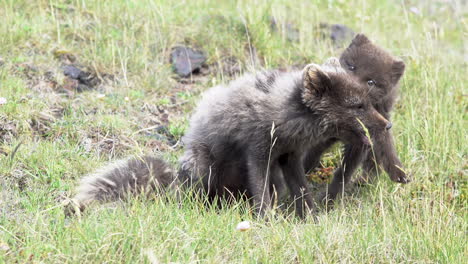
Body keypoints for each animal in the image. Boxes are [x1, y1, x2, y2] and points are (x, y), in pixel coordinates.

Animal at [68, 63, 392, 218]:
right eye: (357, 106)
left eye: (368, 102)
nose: (387, 124)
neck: (288, 116)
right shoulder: (258, 151)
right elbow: (261, 191)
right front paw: (266, 220)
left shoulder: (288, 157)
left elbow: (301, 191)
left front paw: (311, 218)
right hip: (202, 167)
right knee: (196, 196)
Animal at [304, 33, 410, 202]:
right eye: (351, 66)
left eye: (371, 82)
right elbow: (311, 154)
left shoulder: (362, 141)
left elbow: (345, 171)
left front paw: (329, 199)